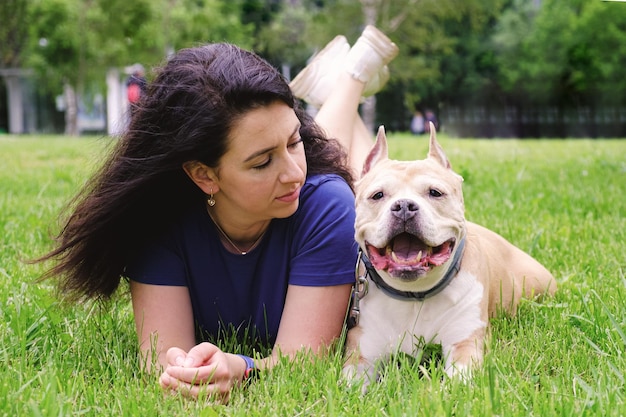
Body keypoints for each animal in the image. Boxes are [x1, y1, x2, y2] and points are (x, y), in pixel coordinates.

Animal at [342, 125, 556, 388]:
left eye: (435, 192)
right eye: (378, 195)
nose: (404, 206)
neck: (415, 295)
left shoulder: (464, 345)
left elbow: (455, 385)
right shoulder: (361, 355)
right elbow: (348, 386)